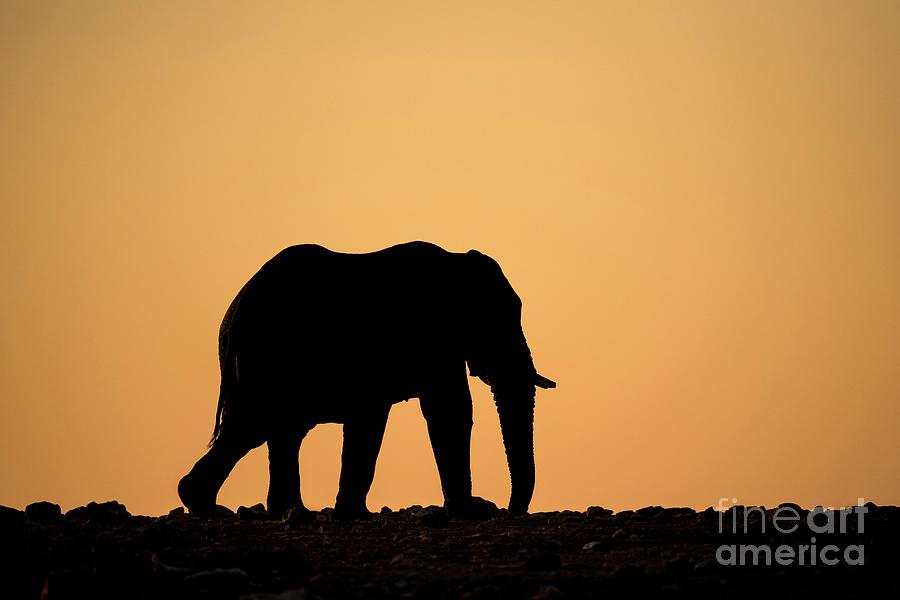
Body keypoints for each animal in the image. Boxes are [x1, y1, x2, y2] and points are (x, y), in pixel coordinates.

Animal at [178, 239, 556, 520]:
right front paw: (469, 512)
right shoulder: (429, 336)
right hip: (267, 360)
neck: (455, 263)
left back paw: (279, 511)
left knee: (274, 431)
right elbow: (448, 409)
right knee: (253, 426)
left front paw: (352, 514)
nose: (509, 510)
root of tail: (235, 311)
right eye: (497, 320)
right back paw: (219, 507)